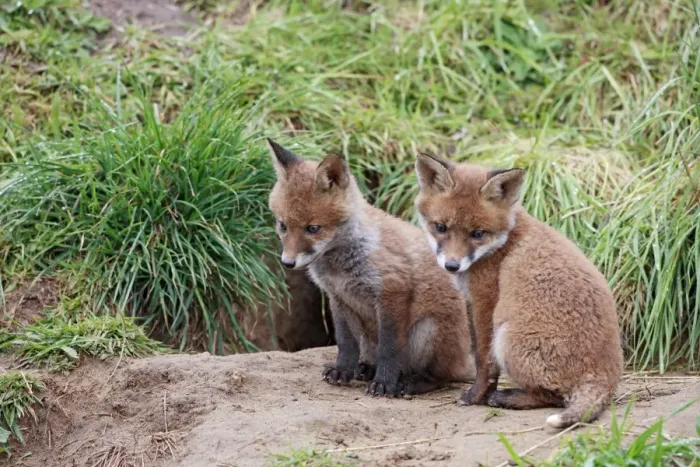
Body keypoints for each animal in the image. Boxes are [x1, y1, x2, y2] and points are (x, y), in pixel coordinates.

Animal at [266, 139, 476, 396]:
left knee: (440, 377)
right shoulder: (338, 297)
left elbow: (389, 347)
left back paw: (410, 383)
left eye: (313, 228)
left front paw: (384, 382)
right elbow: (345, 343)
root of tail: (464, 358)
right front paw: (342, 370)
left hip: (426, 332)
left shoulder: (392, 289)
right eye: (283, 225)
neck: (340, 267)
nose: (288, 262)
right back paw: (365, 369)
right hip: (368, 337)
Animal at [414, 154, 623, 428]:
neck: (504, 241)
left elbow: (483, 359)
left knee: (554, 396)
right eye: (440, 227)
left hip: (508, 336)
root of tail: (606, 373)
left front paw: (477, 396)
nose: (452, 265)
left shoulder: (485, 302)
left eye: (477, 233)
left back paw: (508, 398)